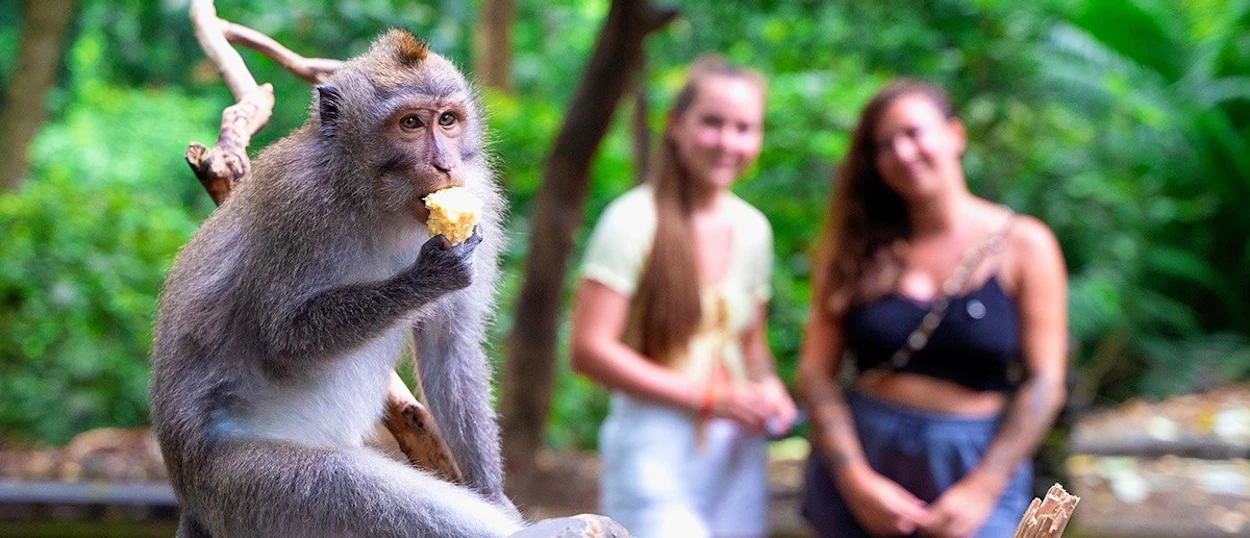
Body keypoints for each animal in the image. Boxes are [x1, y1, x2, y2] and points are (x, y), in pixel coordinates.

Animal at [148, 30, 524, 538]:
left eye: (447, 120)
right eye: (410, 123)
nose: (446, 165)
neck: (375, 198)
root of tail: (187, 493)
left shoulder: (478, 194)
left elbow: (450, 344)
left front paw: (493, 491)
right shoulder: (298, 204)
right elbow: (282, 337)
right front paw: (425, 278)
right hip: (238, 485)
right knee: (360, 491)